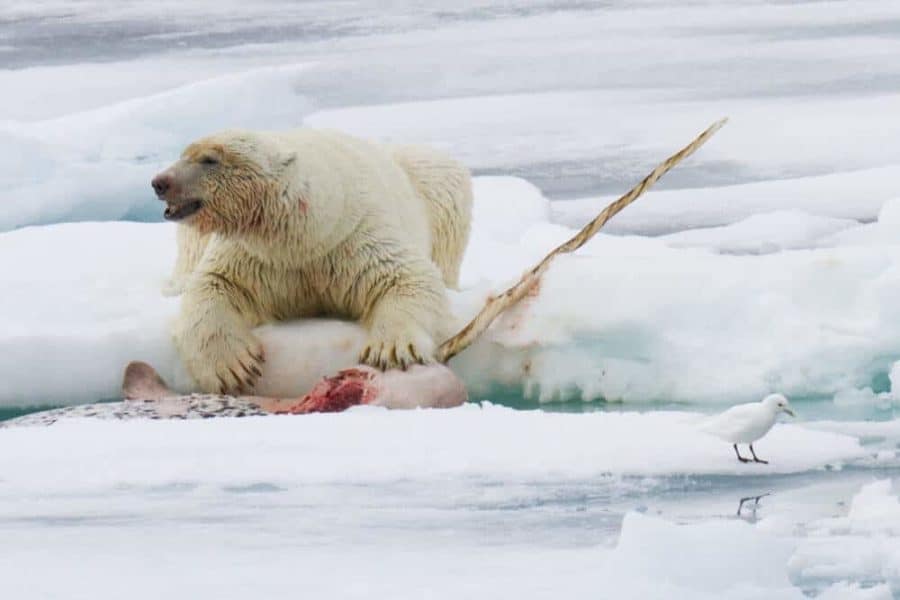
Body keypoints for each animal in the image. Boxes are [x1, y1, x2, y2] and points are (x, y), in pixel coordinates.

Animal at [152, 128, 472, 394]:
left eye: (209, 160)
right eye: (183, 154)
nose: (159, 182)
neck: (305, 236)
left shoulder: (353, 239)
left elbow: (405, 276)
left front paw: (390, 350)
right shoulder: (253, 255)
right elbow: (213, 283)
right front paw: (233, 367)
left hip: (433, 181)